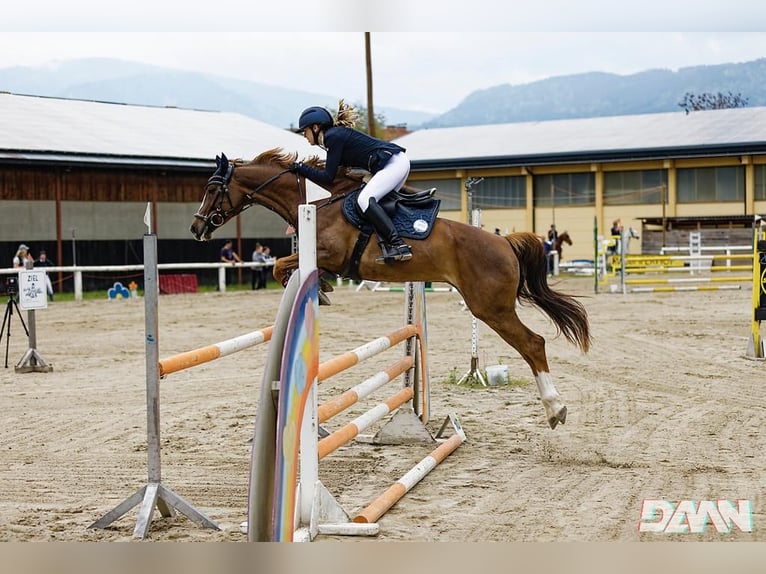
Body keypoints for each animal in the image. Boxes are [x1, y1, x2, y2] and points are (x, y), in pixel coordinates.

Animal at [189, 151, 592, 430]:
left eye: (212, 188)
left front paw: (318, 290)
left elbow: (278, 266)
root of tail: (504, 242)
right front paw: (322, 289)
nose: (196, 228)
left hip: (490, 308)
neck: (316, 203)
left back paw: (556, 409)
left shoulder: (330, 254)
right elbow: (285, 267)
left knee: (533, 344)